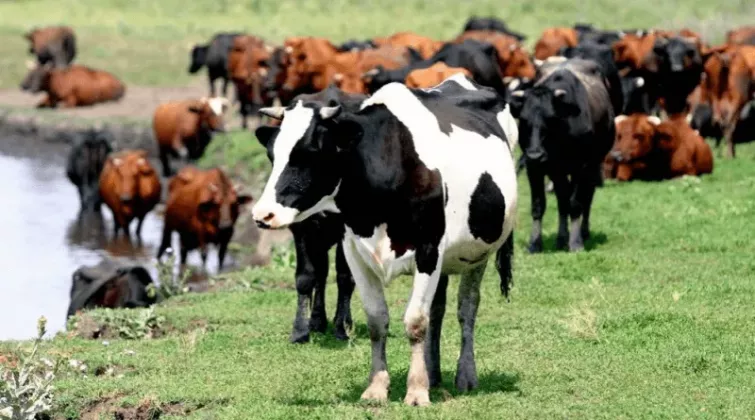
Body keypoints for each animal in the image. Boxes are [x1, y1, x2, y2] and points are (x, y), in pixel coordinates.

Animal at [252, 73, 518, 405]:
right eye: (272, 155)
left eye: (309, 153)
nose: (263, 213)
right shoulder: (355, 252)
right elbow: (378, 321)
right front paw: (377, 387)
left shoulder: (429, 249)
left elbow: (416, 321)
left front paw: (416, 391)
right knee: (438, 310)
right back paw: (433, 373)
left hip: (477, 254)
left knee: (466, 308)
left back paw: (465, 375)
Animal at [514, 58, 615, 253]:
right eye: (523, 119)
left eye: (551, 118)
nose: (536, 154)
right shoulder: (534, 167)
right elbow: (538, 205)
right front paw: (534, 243)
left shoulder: (582, 166)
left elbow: (576, 204)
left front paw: (575, 243)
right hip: (557, 171)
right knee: (562, 200)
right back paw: (561, 237)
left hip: (593, 165)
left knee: (586, 198)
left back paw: (583, 232)